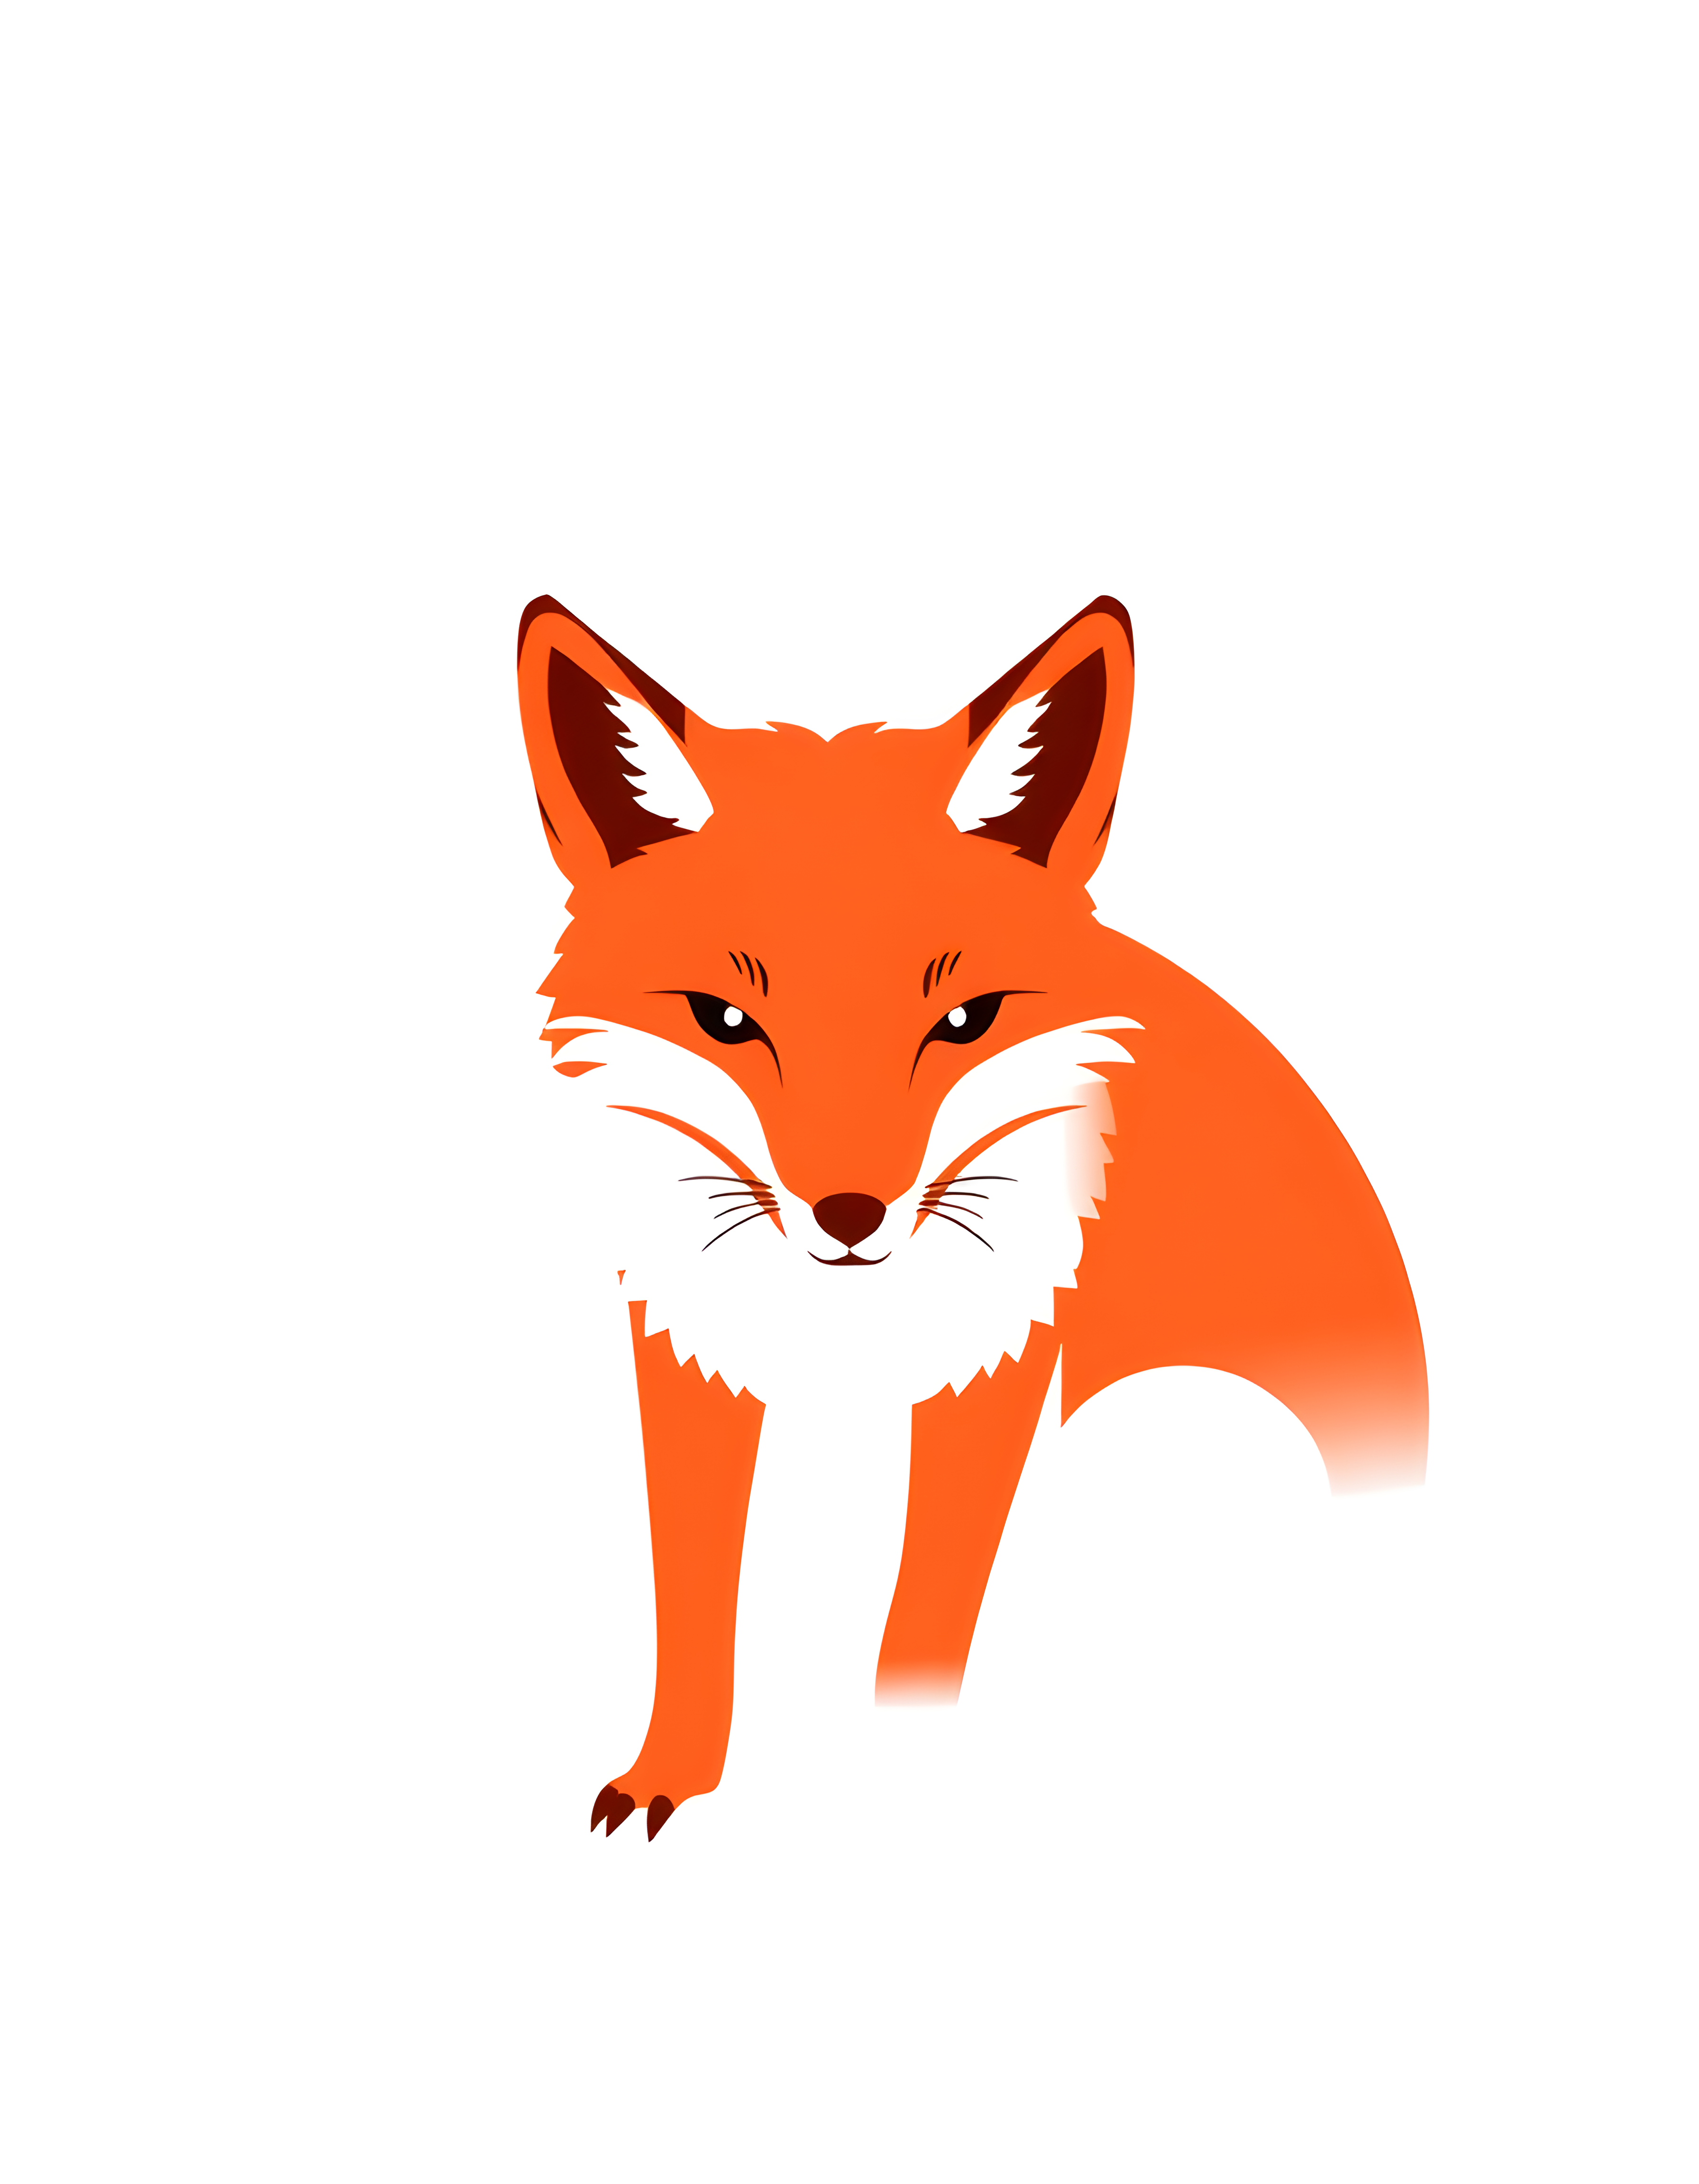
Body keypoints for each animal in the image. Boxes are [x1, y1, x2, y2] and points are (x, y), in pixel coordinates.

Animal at [516, 594, 1427, 1840]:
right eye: (725, 1020)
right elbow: (693, 1597)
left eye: (964, 1020)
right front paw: (672, 1771)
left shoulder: (996, 1370)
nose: (850, 1213)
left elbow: (918, 1631)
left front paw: (902, 1781)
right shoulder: (692, 1360)